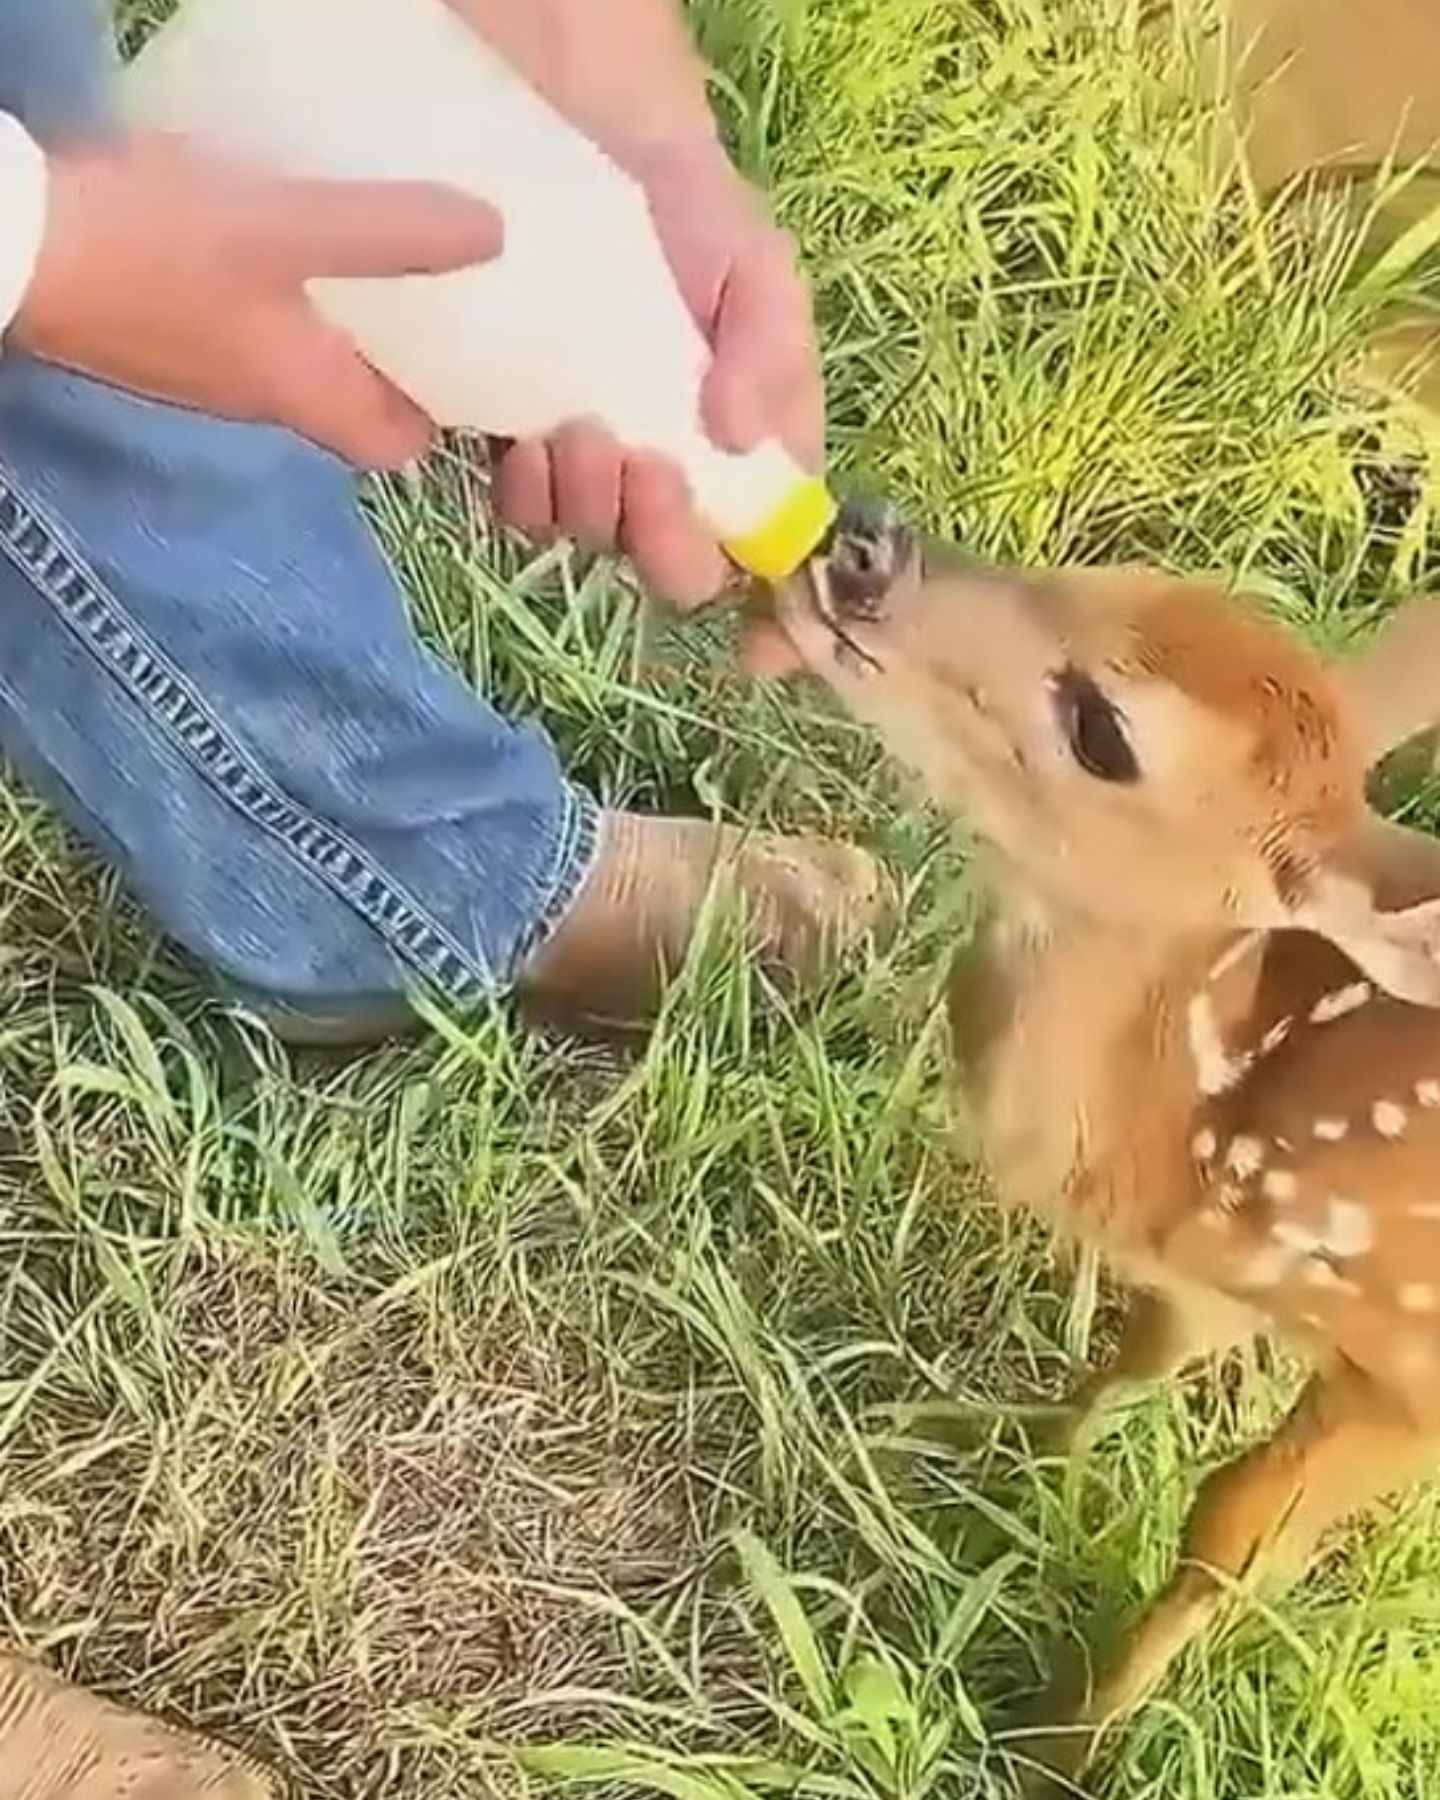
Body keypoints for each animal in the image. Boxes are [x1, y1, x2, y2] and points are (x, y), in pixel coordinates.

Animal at [759, 522, 1440, 1785]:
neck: (1196, 1130)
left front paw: (1061, 1745)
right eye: (1111, 577)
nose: (865, 542)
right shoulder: (1200, 1280)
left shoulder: (1410, 1373)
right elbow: (1137, 1355)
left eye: (1103, 731)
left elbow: (1231, 1533)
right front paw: (991, 1445)